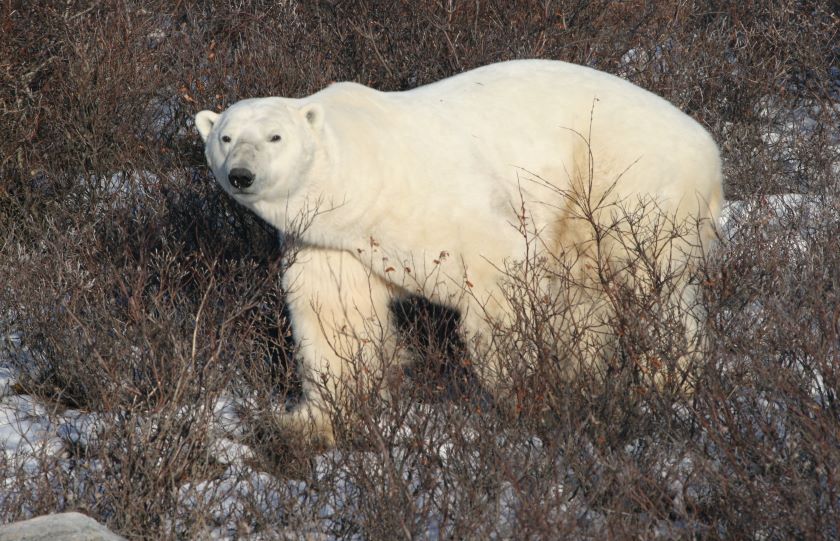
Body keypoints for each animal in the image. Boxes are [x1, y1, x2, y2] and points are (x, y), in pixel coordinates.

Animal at [197, 59, 720, 448]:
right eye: (225, 137)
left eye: (275, 136)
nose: (241, 174)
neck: (368, 169)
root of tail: (709, 148)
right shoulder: (331, 240)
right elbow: (337, 317)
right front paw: (309, 422)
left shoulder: (442, 201)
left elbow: (498, 276)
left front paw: (523, 388)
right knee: (587, 295)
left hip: (627, 181)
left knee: (652, 284)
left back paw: (669, 381)